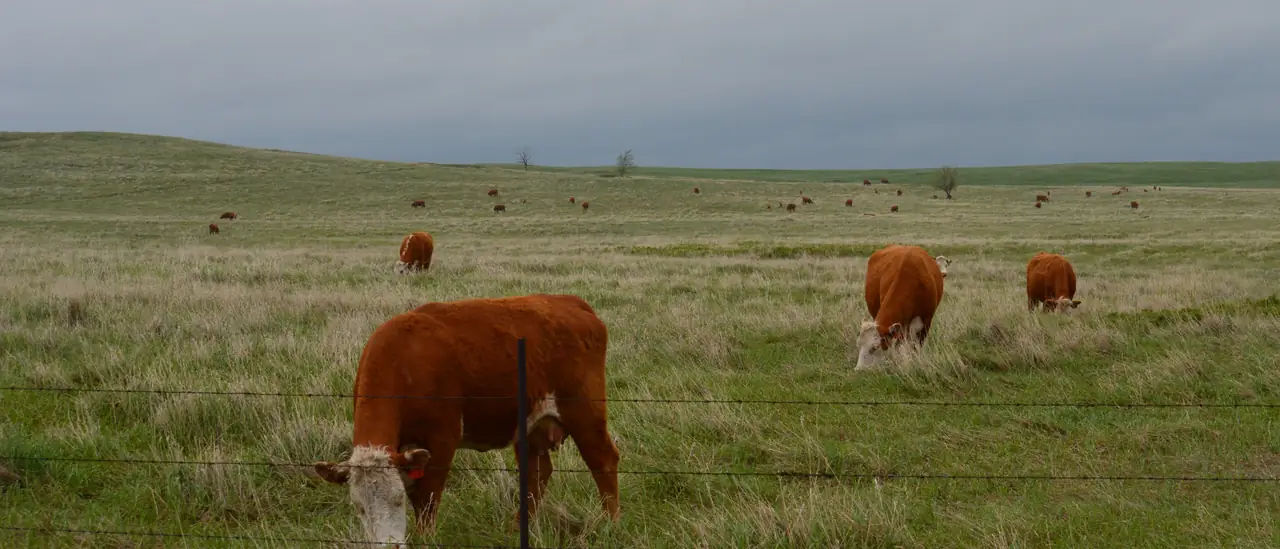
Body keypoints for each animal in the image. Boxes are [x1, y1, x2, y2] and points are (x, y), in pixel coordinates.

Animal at [314, 294, 620, 545]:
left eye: (397, 499)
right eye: (359, 507)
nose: (389, 546)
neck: (404, 362)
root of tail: (571, 302)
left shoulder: (442, 439)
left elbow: (426, 500)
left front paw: (426, 539)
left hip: (584, 412)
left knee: (603, 460)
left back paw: (610, 523)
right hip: (531, 425)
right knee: (537, 473)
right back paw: (516, 529)